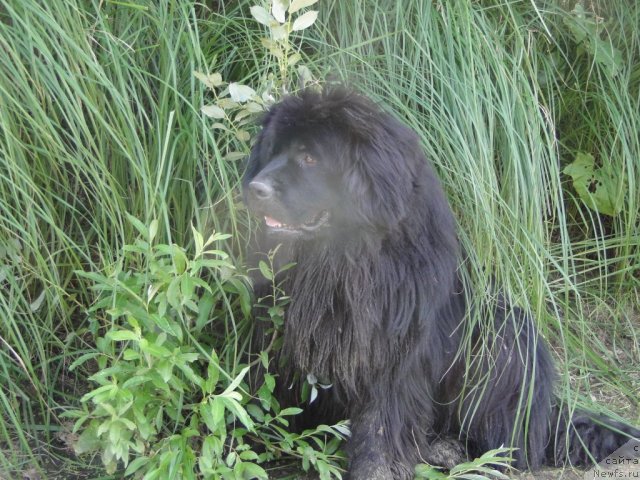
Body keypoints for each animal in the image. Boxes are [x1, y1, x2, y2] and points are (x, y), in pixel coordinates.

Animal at [241, 88, 640, 478]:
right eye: (272, 152)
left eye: (309, 158)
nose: (255, 189)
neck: (340, 258)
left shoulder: (395, 350)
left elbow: (381, 422)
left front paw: (376, 470)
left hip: (506, 336)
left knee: (508, 440)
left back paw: (452, 450)